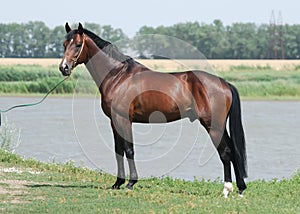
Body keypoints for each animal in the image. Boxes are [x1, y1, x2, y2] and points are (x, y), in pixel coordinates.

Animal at [59, 23, 248, 197]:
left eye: (78, 44)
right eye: (64, 43)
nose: (64, 67)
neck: (118, 76)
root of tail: (224, 83)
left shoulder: (123, 119)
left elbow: (129, 149)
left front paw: (131, 183)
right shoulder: (114, 121)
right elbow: (118, 150)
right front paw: (117, 183)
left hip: (213, 126)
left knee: (226, 152)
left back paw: (226, 189)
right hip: (219, 126)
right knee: (233, 151)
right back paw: (240, 188)